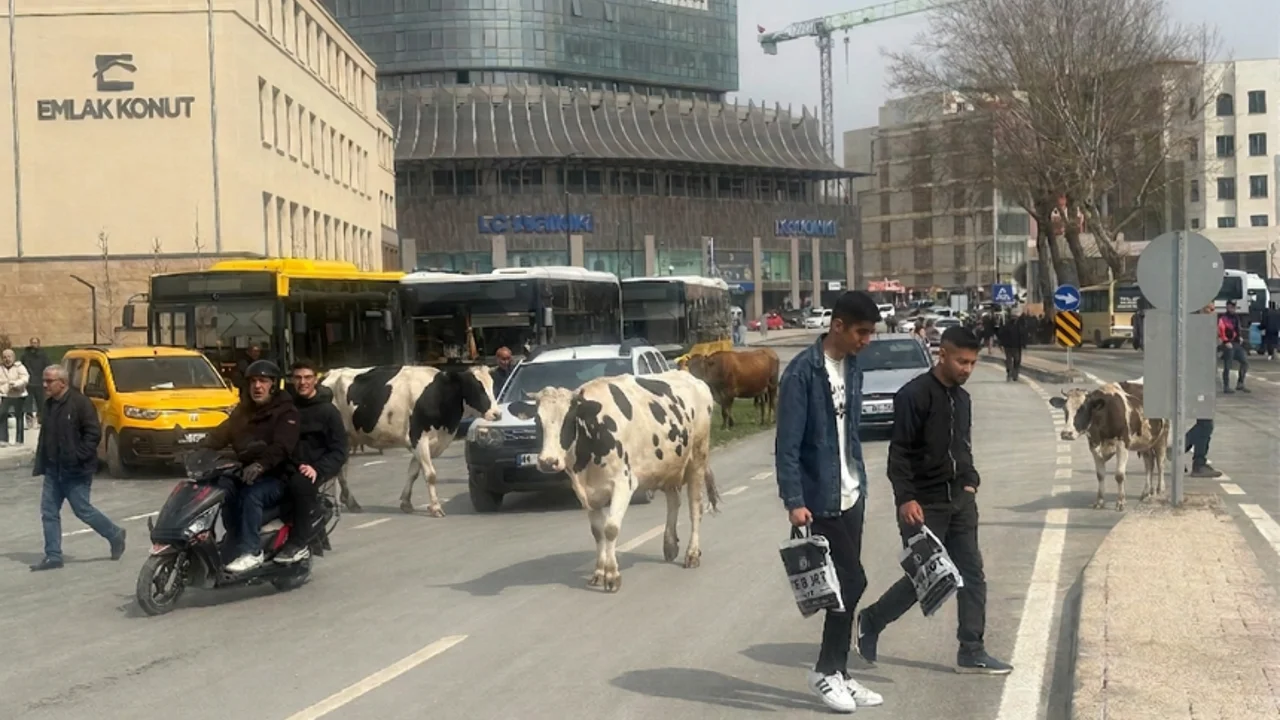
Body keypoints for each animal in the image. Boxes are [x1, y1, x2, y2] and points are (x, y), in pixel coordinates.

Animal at [322, 365, 500, 517]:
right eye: (476, 386)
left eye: (492, 385)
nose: (497, 414)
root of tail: (330, 373)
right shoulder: (418, 438)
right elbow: (430, 474)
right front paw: (435, 508)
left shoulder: (423, 444)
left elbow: (413, 473)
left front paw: (406, 503)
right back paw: (347, 501)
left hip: (347, 438)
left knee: (341, 469)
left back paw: (349, 501)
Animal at [510, 371, 720, 592]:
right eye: (537, 420)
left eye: (569, 418)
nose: (548, 462)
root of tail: (692, 377)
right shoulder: (587, 493)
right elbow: (597, 532)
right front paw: (598, 573)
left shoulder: (623, 483)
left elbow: (610, 529)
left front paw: (612, 575)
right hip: (668, 466)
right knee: (674, 501)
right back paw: (670, 545)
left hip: (697, 459)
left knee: (695, 508)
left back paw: (692, 554)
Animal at [1050, 381, 1168, 511]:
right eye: (1065, 409)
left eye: (1083, 409)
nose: (1066, 433)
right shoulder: (1094, 446)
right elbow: (1100, 475)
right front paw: (1099, 501)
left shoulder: (1122, 444)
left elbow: (1119, 475)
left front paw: (1121, 502)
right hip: (1145, 442)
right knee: (1149, 464)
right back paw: (1146, 493)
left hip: (1162, 437)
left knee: (1161, 463)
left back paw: (1160, 490)